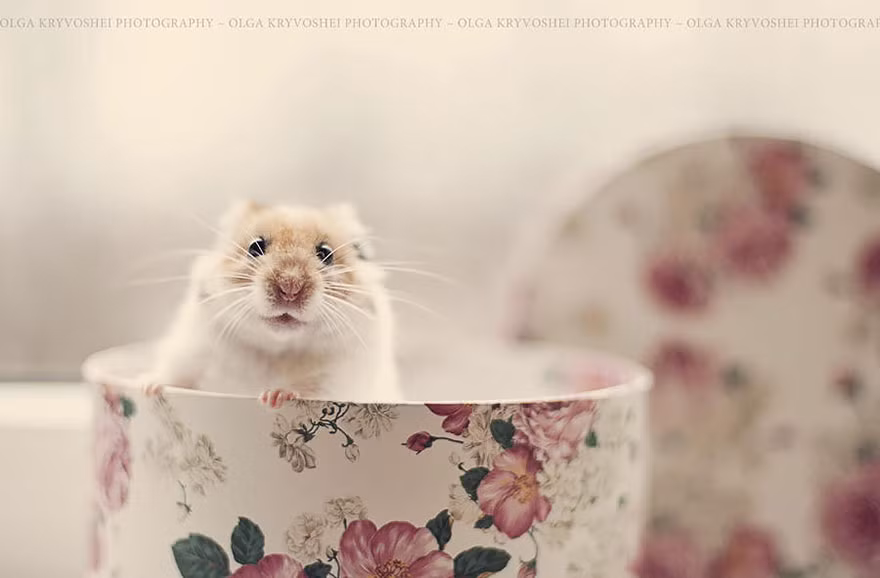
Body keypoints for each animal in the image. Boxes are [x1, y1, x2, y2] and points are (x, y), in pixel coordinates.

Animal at [141, 200, 400, 405]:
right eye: (255, 247)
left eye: (326, 253)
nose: (290, 288)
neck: (276, 349)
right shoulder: (191, 351)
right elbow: (175, 377)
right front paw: (148, 388)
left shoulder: (337, 381)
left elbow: (309, 390)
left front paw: (273, 397)